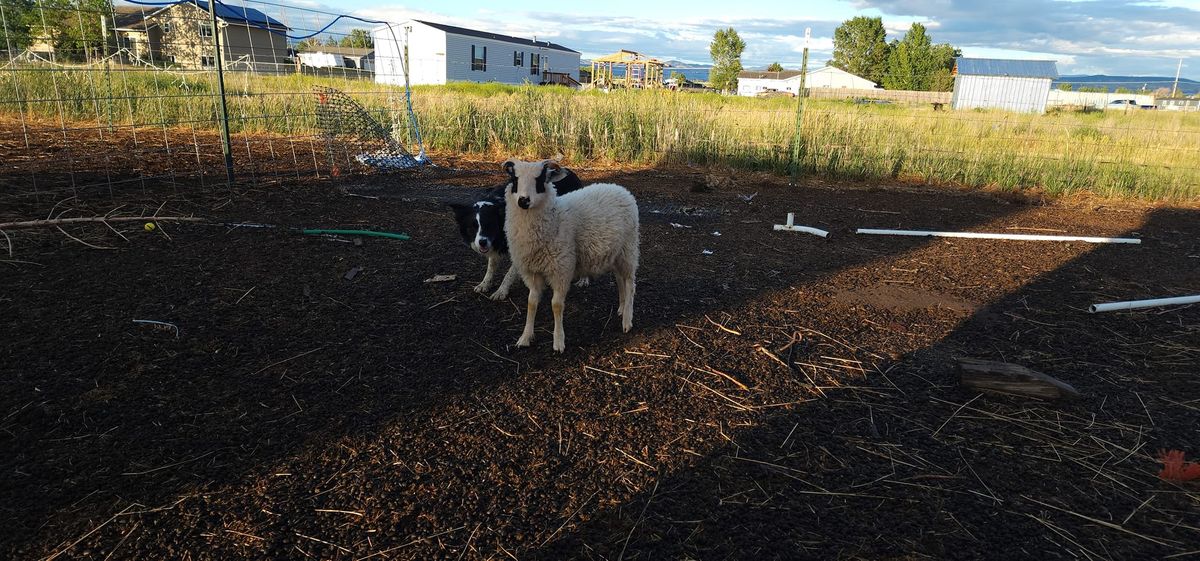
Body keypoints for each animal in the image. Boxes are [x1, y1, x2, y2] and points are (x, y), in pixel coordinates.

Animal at [448, 165, 583, 299]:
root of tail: (569, 171)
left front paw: (501, 291)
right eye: (472, 228)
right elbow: (491, 266)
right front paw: (485, 283)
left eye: (490, 226)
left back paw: (583, 280)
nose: (482, 242)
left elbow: (509, 274)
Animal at [501, 158, 643, 350]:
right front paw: (525, 337)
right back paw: (621, 309)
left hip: (629, 249)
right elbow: (531, 302)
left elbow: (556, 305)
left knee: (630, 284)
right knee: (620, 280)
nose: (523, 200)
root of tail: (621, 189)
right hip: (615, 254)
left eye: (540, 180)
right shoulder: (532, 271)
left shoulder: (561, 269)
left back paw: (627, 320)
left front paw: (558, 341)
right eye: (515, 179)